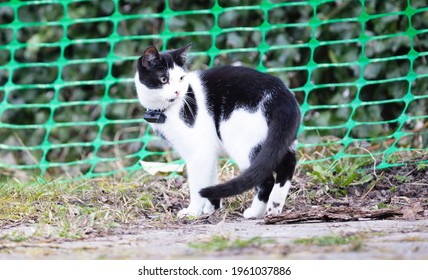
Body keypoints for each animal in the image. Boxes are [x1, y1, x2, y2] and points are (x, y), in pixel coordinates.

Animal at [135, 43, 300, 219]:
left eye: (181, 79)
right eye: (164, 79)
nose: (177, 92)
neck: (167, 109)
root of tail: (281, 93)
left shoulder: (199, 152)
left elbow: (197, 185)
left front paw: (192, 212)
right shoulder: (209, 153)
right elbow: (211, 178)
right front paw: (211, 209)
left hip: (243, 141)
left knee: (266, 179)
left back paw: (254, 213)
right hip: (280, 139)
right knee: (287, 165)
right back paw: (274, 208)